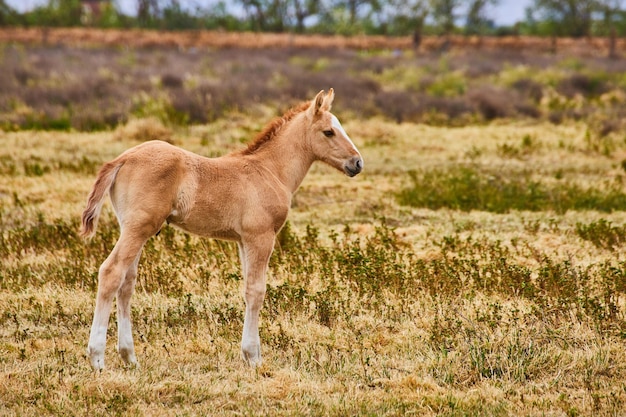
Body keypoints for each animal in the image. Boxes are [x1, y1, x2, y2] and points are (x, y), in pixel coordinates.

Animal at [79, 88, 360, 368]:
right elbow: (257, 291)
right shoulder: (261, 237)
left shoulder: (244, 241)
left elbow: (247, 289)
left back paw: (129, 357)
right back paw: (97, 357)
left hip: (133, 228)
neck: (270, 171)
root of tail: (122, 158)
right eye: (328, 132)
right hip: (138, 228)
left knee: (127, 283)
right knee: (111, 272)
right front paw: (253, 357)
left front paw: (251, 355)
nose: (357, 163)